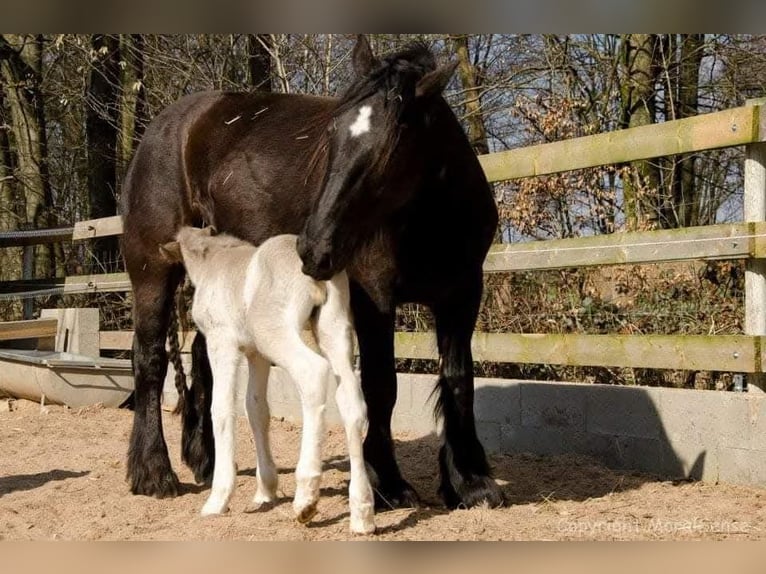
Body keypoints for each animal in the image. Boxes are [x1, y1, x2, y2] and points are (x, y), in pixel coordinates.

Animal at [163, 226, 378, 536]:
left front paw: (218, 499)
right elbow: (256, 408)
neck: (212, 262)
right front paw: (266, 490)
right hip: (333, 328)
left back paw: (306, 499)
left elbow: (221, 409)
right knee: (352, 402)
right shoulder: (256, 354)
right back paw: (362, 512)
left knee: (312, 372)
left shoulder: (222, 342)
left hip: (274, 333)